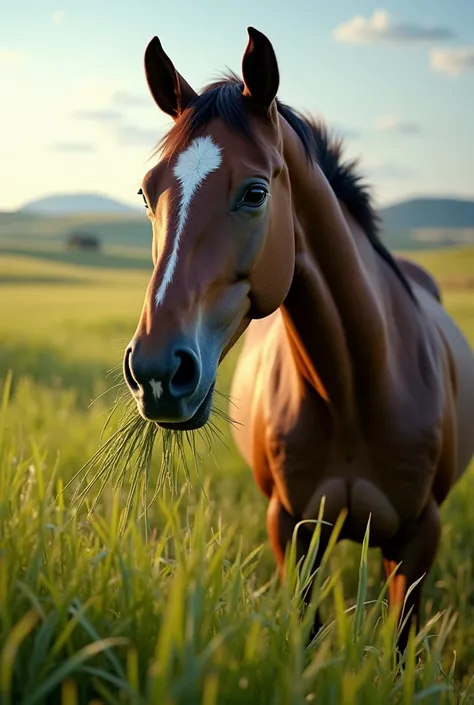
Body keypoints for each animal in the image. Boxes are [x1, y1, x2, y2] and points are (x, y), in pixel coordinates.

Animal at [123, 27, 474, 656]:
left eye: (256, 192)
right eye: (145, 193)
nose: (157, 371)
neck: (356, 388)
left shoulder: (420, 540)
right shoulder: (292, 530)